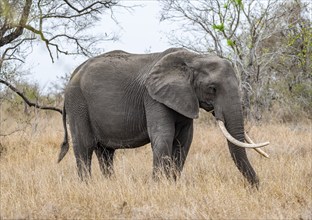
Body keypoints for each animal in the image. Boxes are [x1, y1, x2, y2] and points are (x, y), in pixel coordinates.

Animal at [58, 47, 268, 186]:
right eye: (212, 88)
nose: (256, 187)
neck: (194, 58)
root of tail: (74, 73)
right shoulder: (152, 98)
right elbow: (163, 136)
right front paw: (159, 187)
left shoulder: (184, 98)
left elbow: (184, 141)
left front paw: (173, 184)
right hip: (78, 103)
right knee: (84, 148)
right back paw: (87, 186)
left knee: (106, 153)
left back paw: (111, 184)